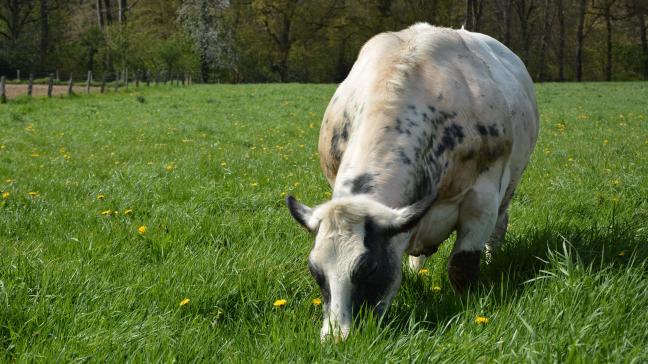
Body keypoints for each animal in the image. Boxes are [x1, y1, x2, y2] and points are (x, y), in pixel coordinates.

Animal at [286, 22, 540, 342]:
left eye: (368, 269)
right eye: (315, 271)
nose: (337, 339)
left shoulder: (483, 197)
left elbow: (462, 266)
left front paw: (468, 307)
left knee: (499, 227)